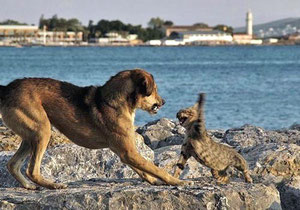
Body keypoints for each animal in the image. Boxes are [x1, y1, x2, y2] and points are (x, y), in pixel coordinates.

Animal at [0, 69, 186, 190]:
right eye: (154, 90)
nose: (164, 102)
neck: (114, 102)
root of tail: (7, 88)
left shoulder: (125, 153)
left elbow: (144, 171)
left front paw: (154, 182)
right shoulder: (128, 152)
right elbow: (155, 168)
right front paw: (177, 182)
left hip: (30, 136)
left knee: (12, 164)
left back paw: (29, 186)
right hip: (43, 131)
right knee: (32, 170)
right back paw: (53, 185)